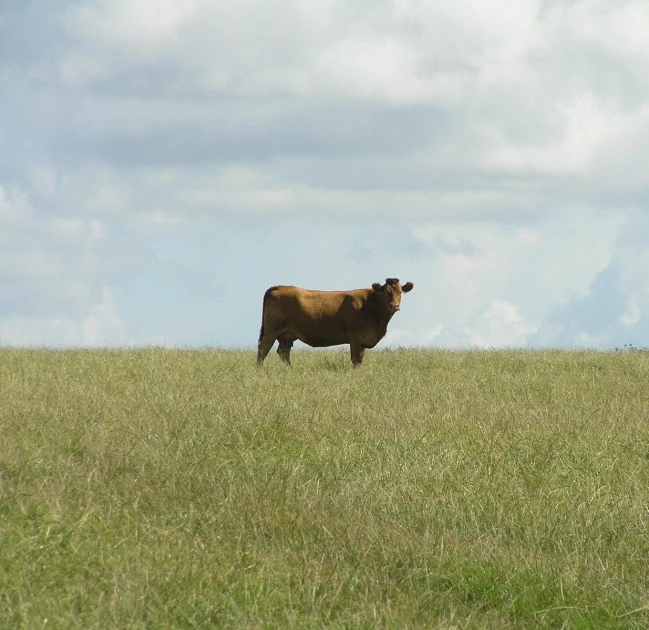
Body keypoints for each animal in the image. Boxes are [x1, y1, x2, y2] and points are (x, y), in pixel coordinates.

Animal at [256, 278, 412, 368]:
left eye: (400, 292)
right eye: (385, 292)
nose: (394, 305)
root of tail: (280, 287)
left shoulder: (363, 340)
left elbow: (360, 360)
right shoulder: (355, 337)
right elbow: (355, 359)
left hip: (287, 335)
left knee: (283, 352)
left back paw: (290, 369)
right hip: (271, 331)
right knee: (263, 349)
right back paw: (260, 369)